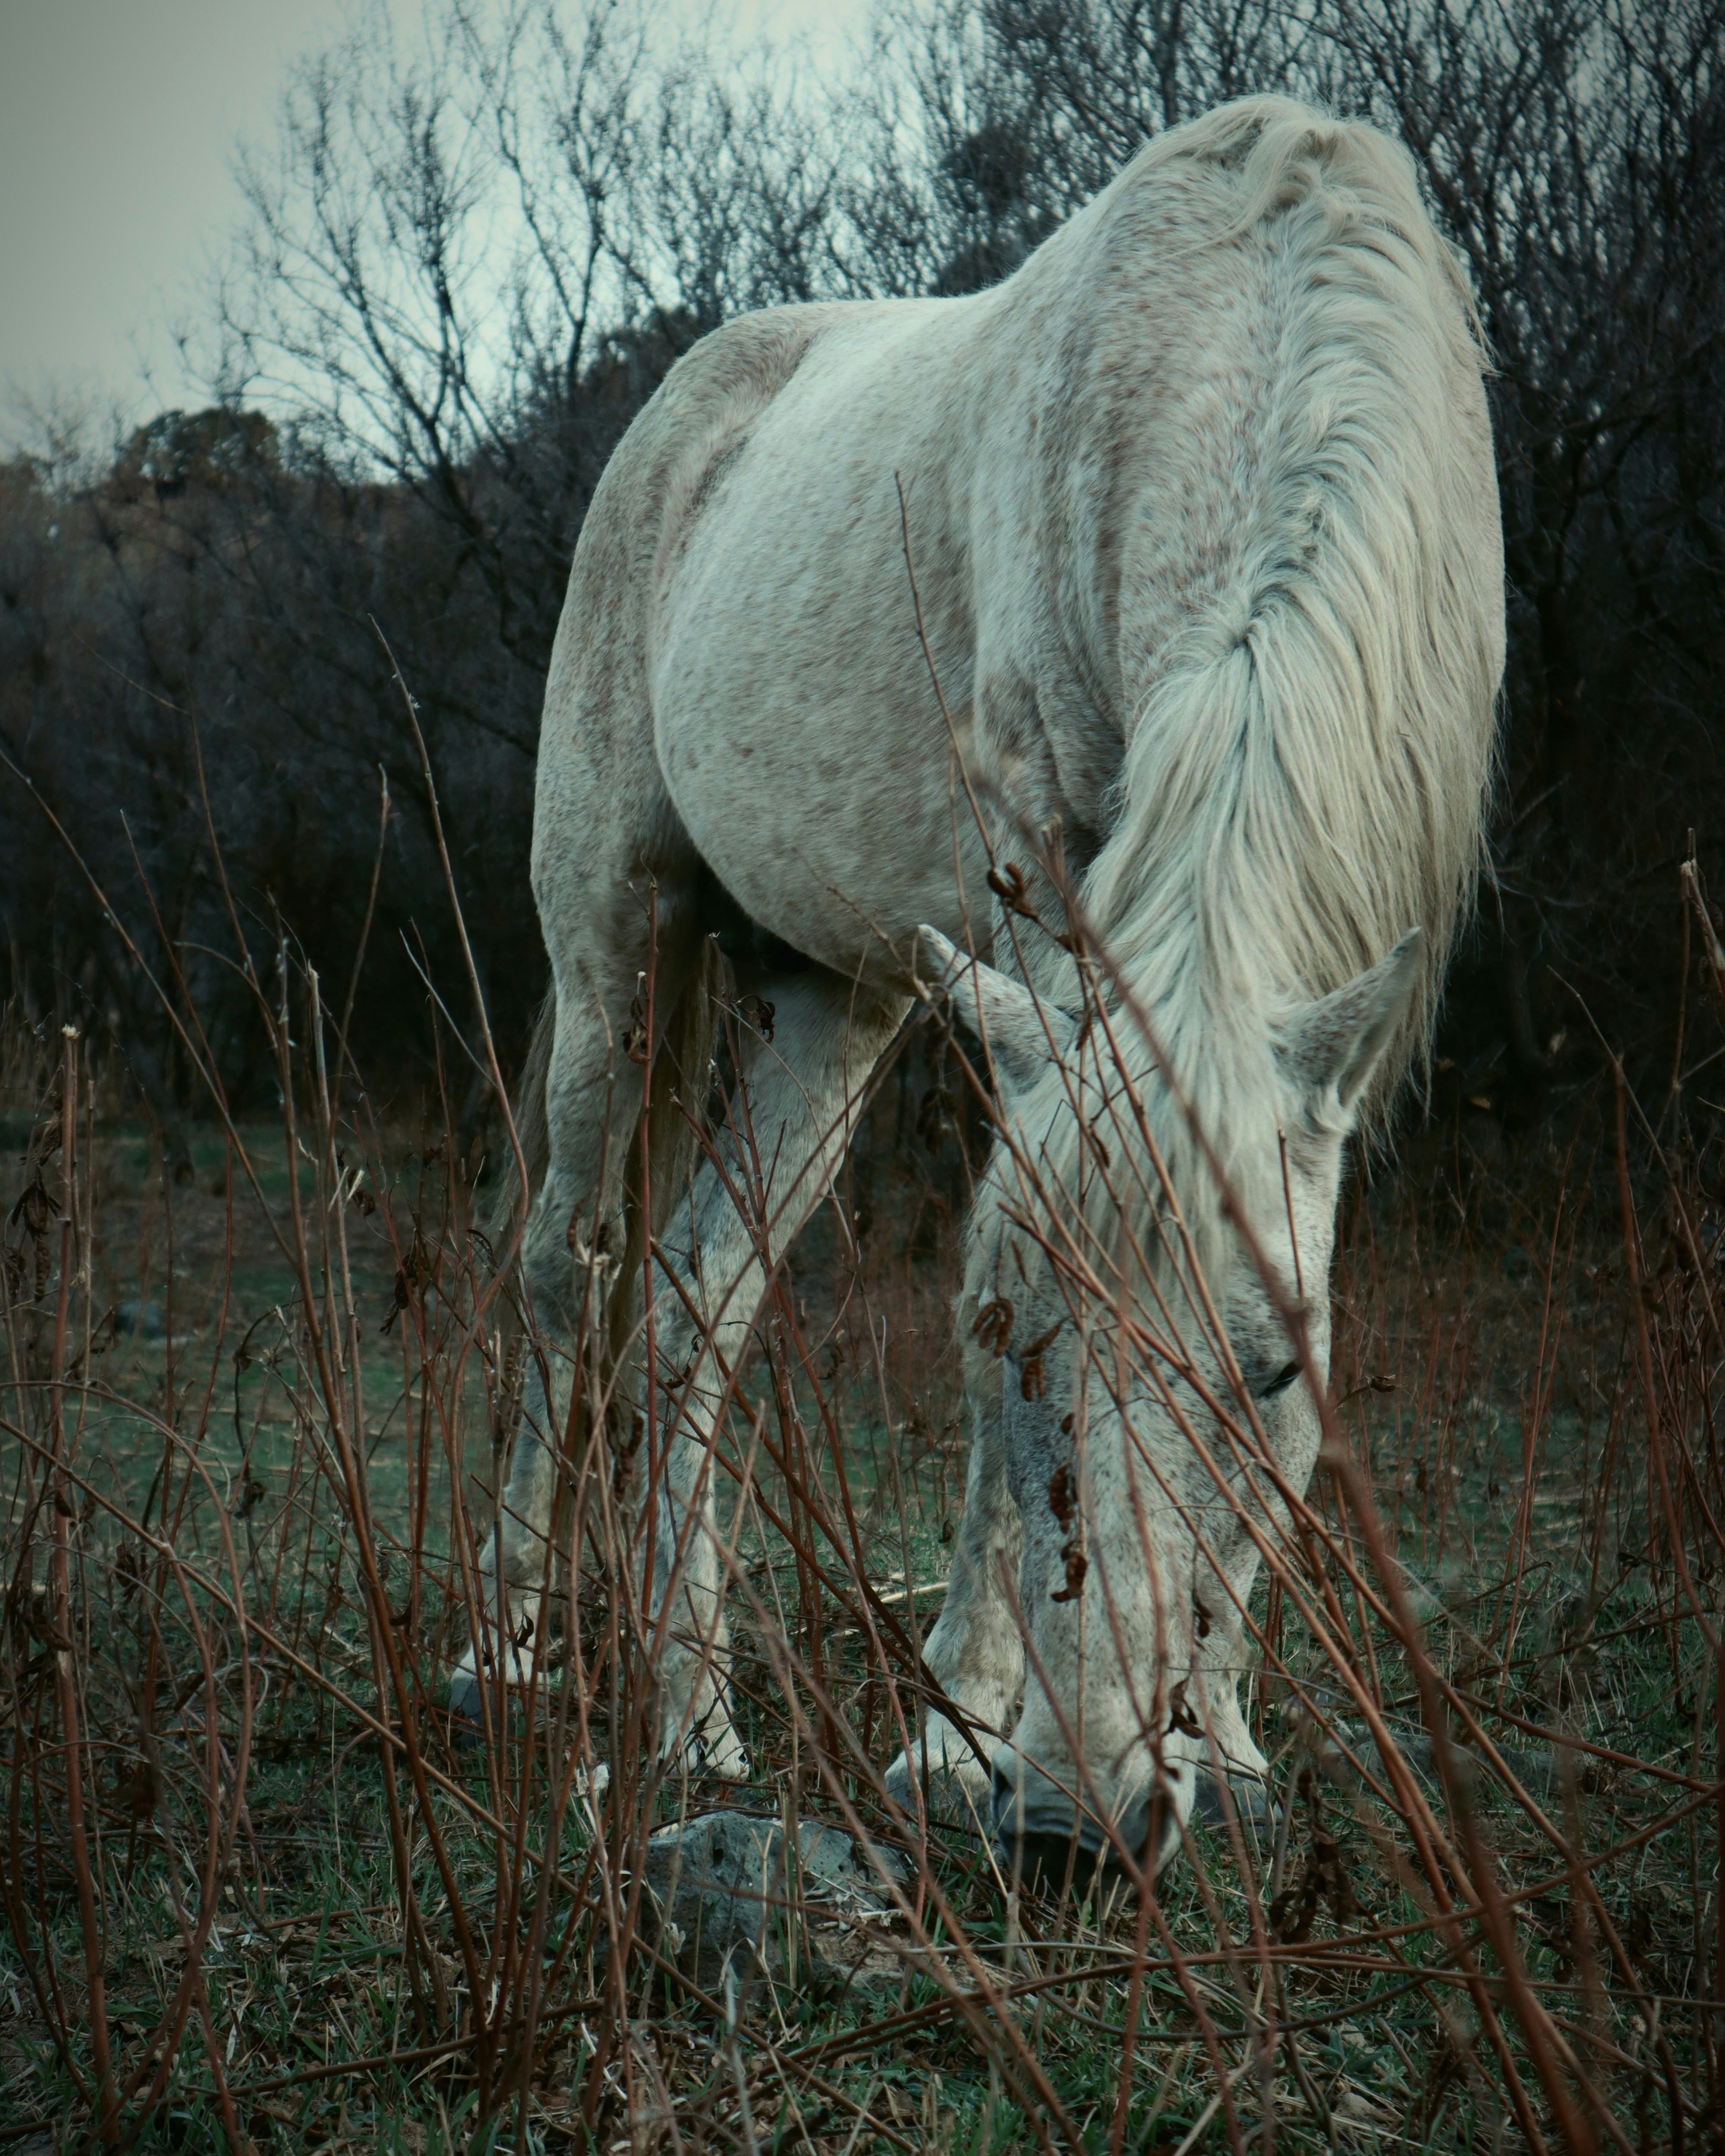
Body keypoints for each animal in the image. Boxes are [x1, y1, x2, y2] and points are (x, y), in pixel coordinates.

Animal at [450, 94, 1505, 1878]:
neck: (1255, 328)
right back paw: (508, 1655)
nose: (1084, 1814)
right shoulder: (1041, 907)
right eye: (989, 1332)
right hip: (613, 945)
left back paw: (694, 1725)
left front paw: (1225, 1747)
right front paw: (954, 1745)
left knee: (693, 1302)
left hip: (830, 1000)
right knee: (564, 1275)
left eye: (1273, 1367)